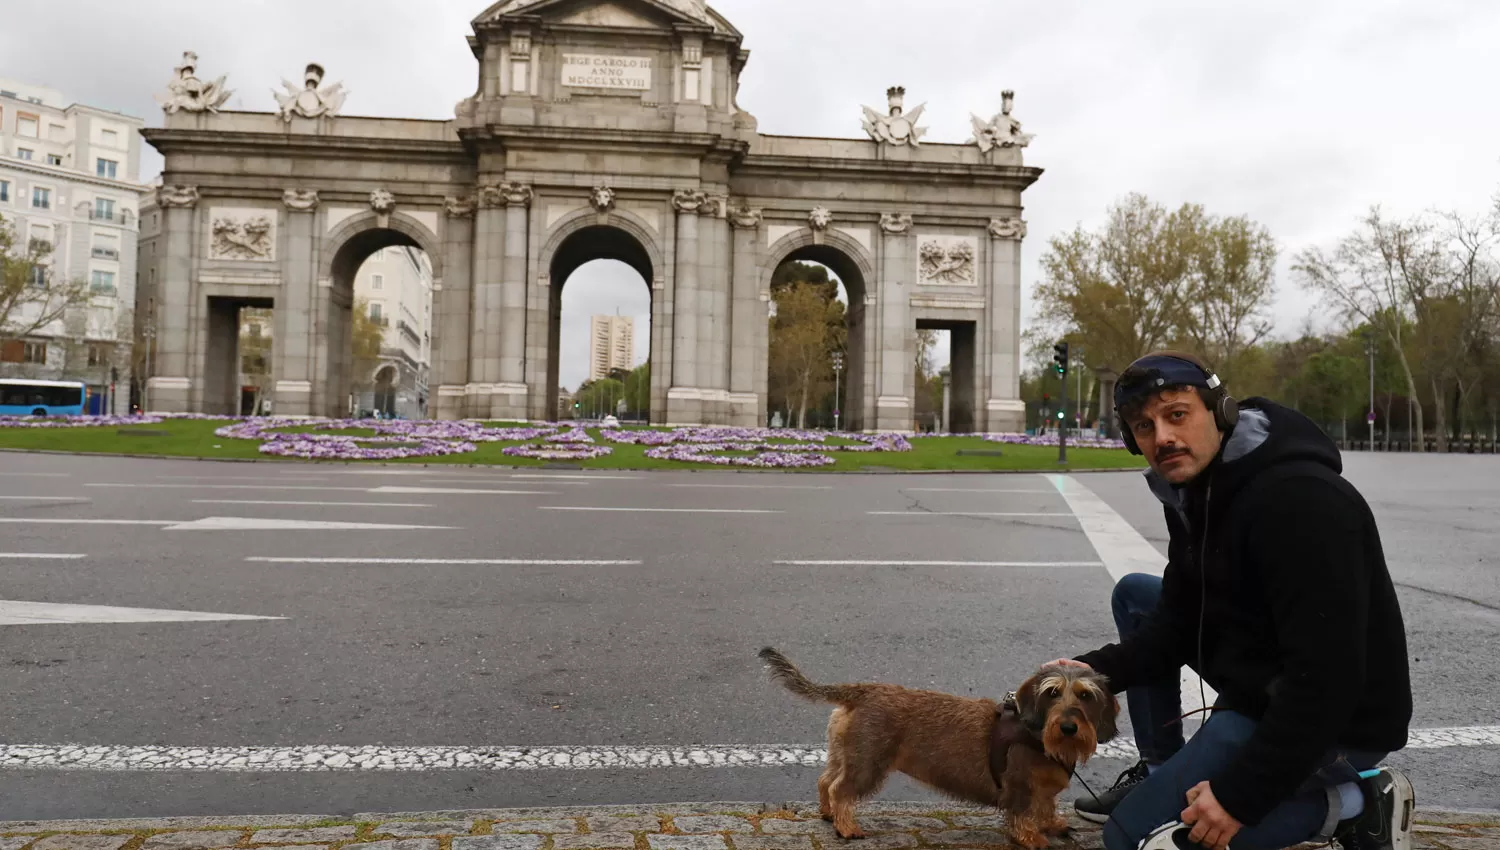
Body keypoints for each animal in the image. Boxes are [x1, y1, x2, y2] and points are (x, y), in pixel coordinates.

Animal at [762, 647, 1116, 845]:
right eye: (1052, 693)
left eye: (1085, 695)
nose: (1068, 727)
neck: (1038, 734)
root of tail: (862, 690)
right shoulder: (1019, 789)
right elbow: (1021, 816)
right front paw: (1031, 837)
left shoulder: (1042, 793)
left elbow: (1046, 808)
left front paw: (1051, 824)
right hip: (867, 765)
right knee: (840, 790)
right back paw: (846, 826)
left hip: (846, 755)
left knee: (826, 781)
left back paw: (828, 814)